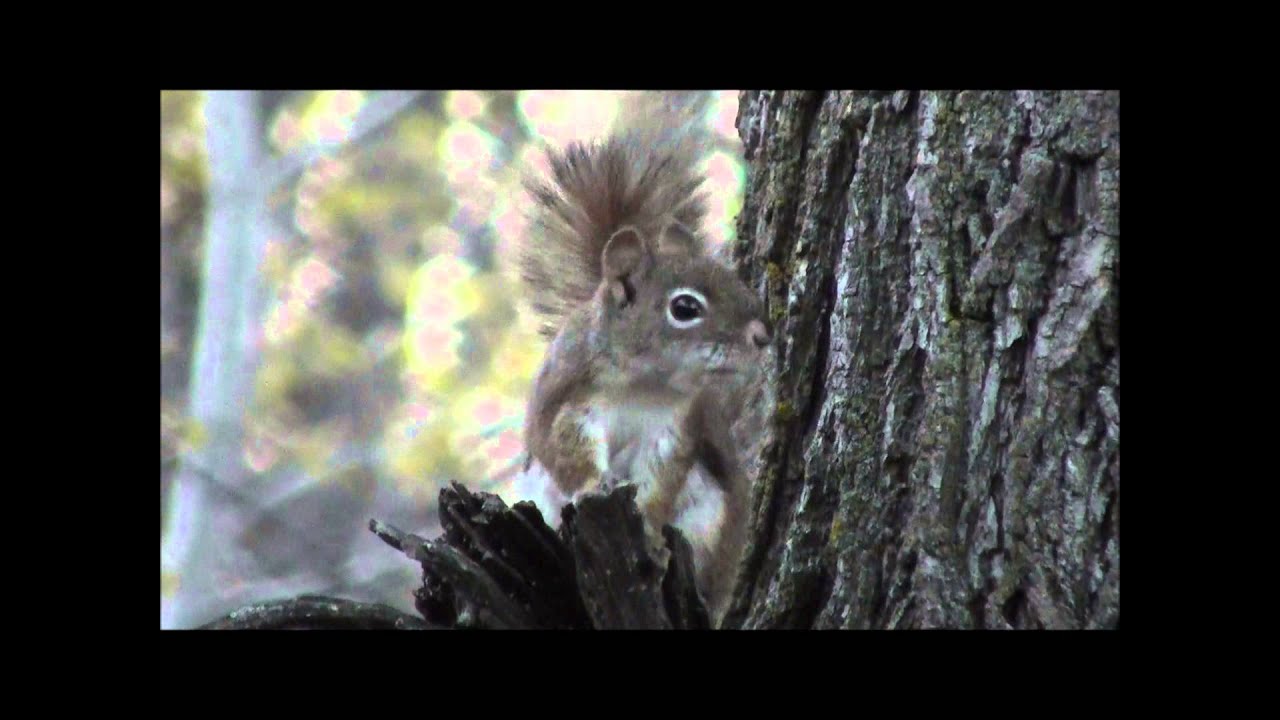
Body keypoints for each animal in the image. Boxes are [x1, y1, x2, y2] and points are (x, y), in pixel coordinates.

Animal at [517, 131, 772, 625]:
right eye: (685, 308)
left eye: (734, 281)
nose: (762, 336)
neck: (645, 385)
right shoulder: (569, 403)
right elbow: (564, 449)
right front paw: (593, 484)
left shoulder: (674, 429)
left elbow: (658, 484)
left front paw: (651, 534)